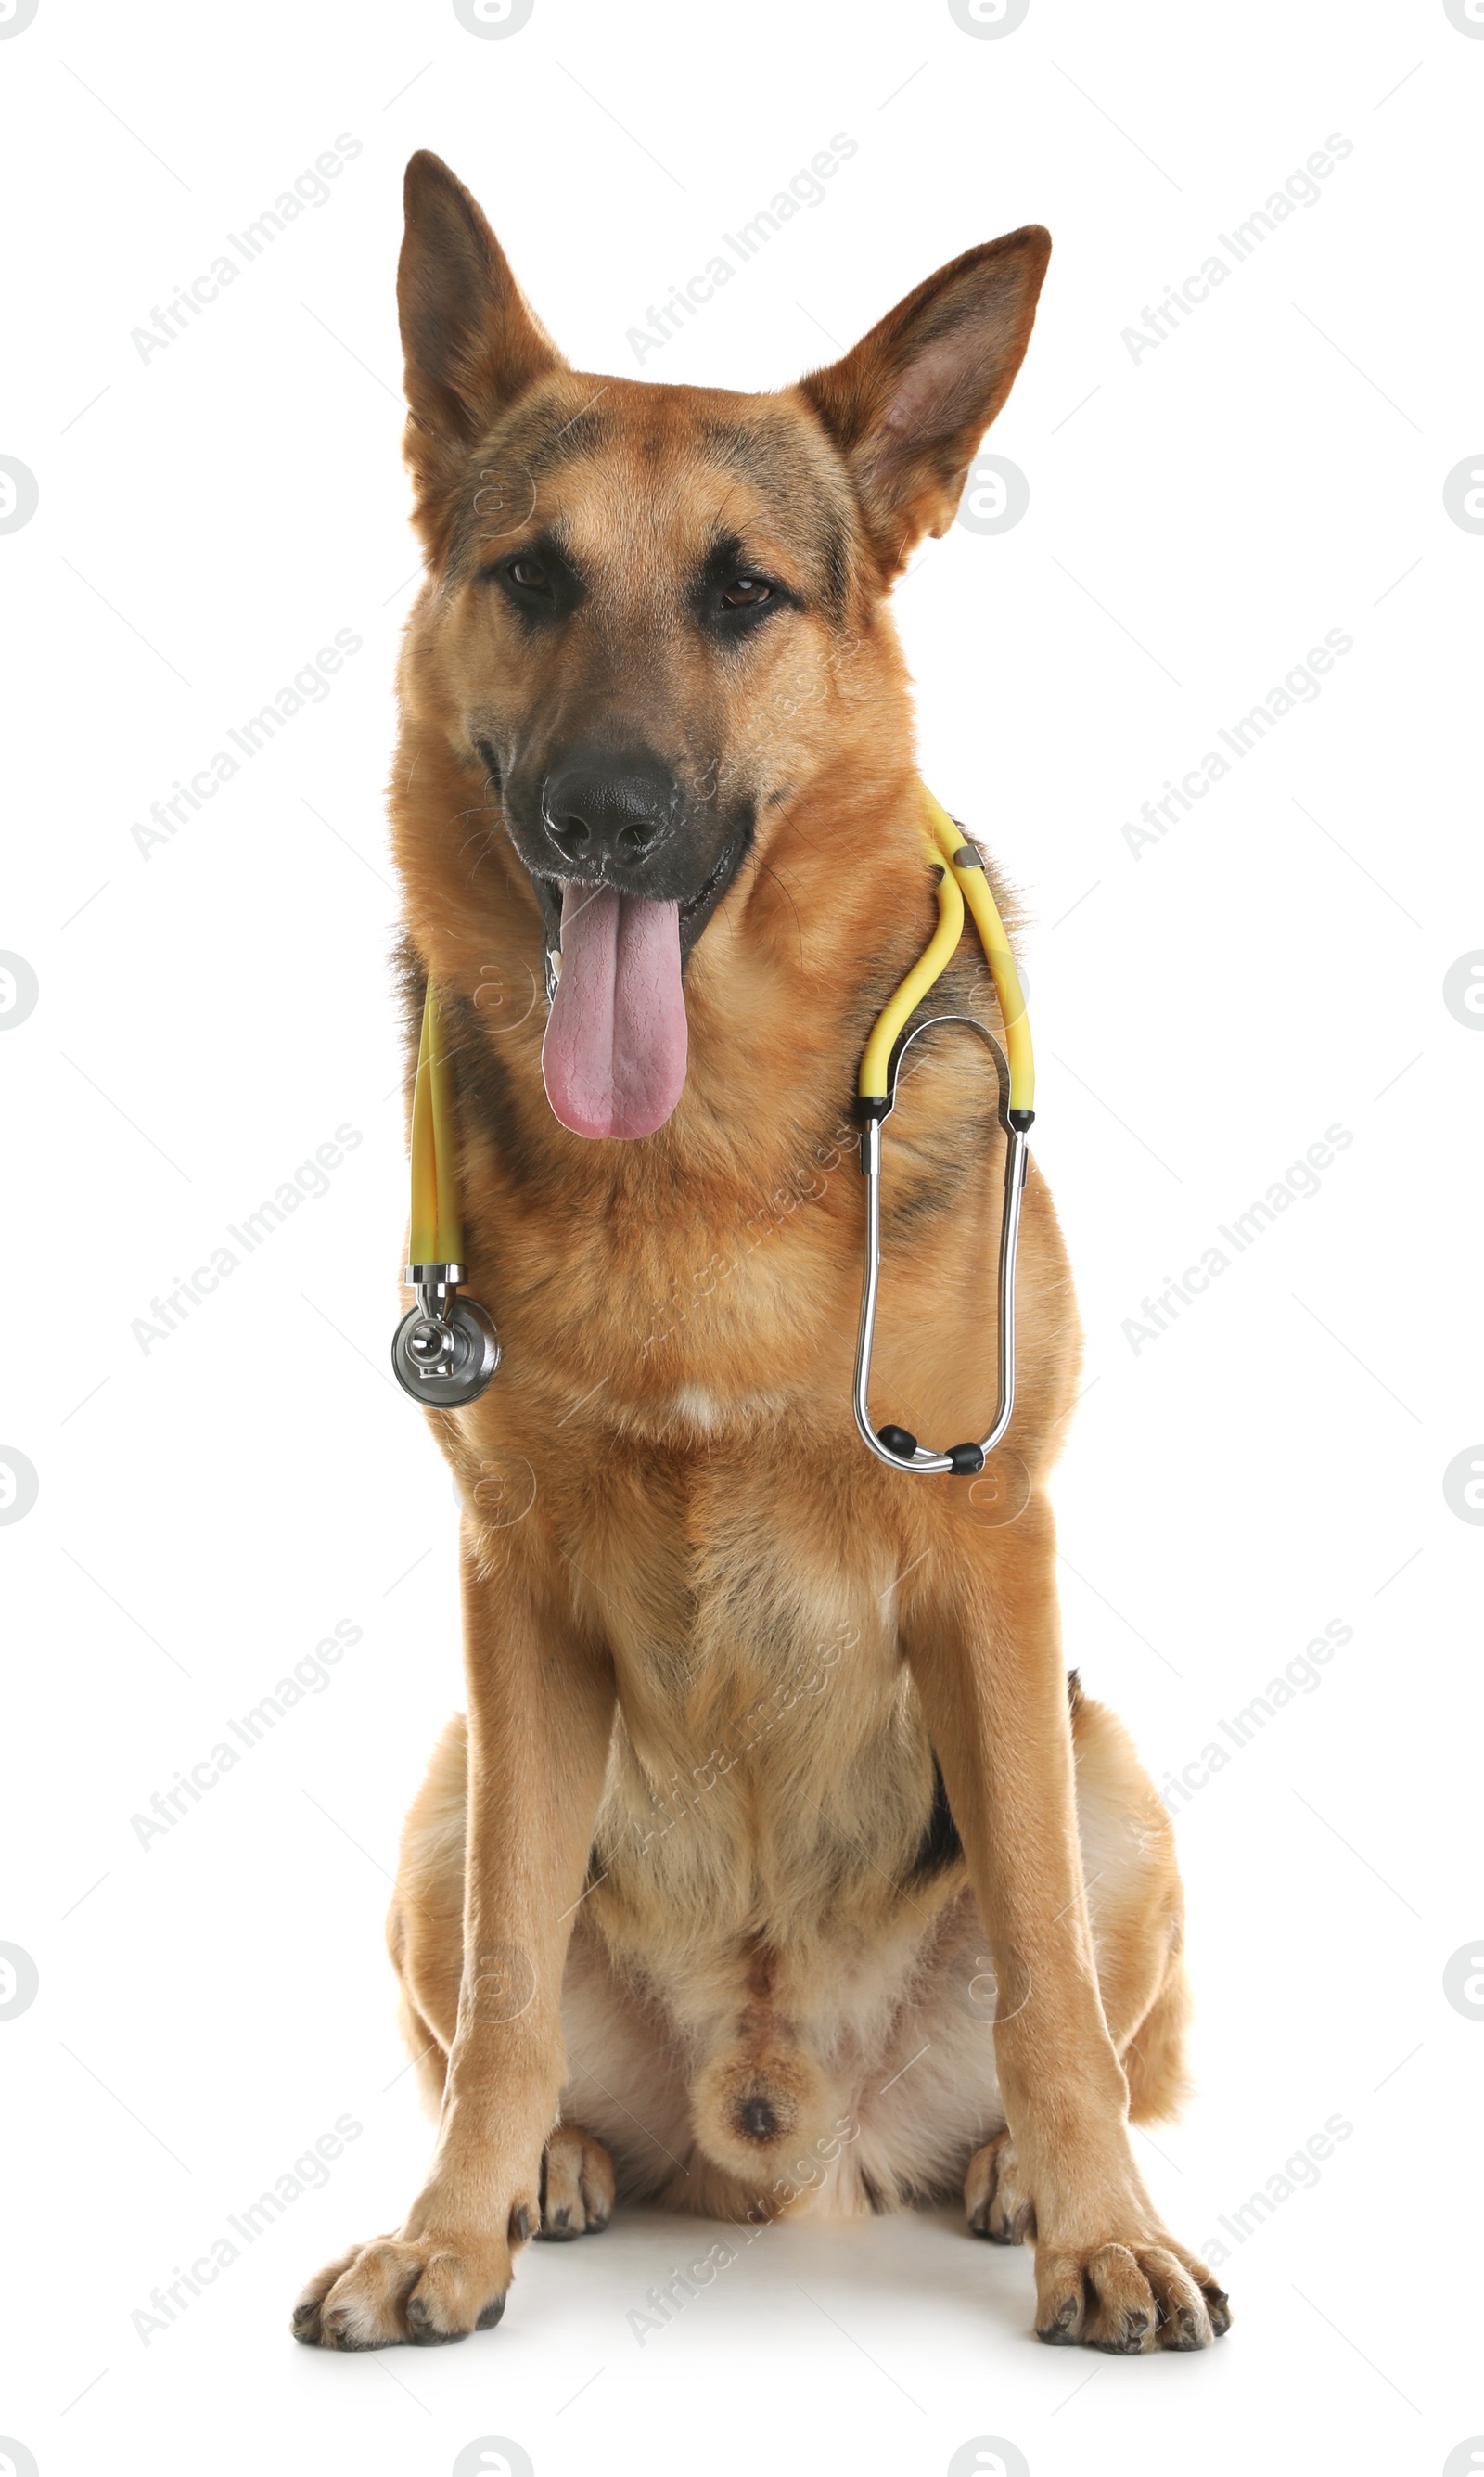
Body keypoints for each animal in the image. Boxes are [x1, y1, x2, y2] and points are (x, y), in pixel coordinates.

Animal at [289, 154, 1228, 2357]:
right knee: (502, 2000)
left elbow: (1050, 1979)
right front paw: (448, 2234)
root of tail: (784, 2124)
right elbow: (501, 1992)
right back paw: (548, 2170)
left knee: (1089, 1998)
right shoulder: (514, 1600)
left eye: (741, 596)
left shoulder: (991, 1560)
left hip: (1108, 1772)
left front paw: (1100, 2231)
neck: (697, 1166)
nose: (601, 817)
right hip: (447, 1787)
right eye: (532, 578)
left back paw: (1010, 2179)